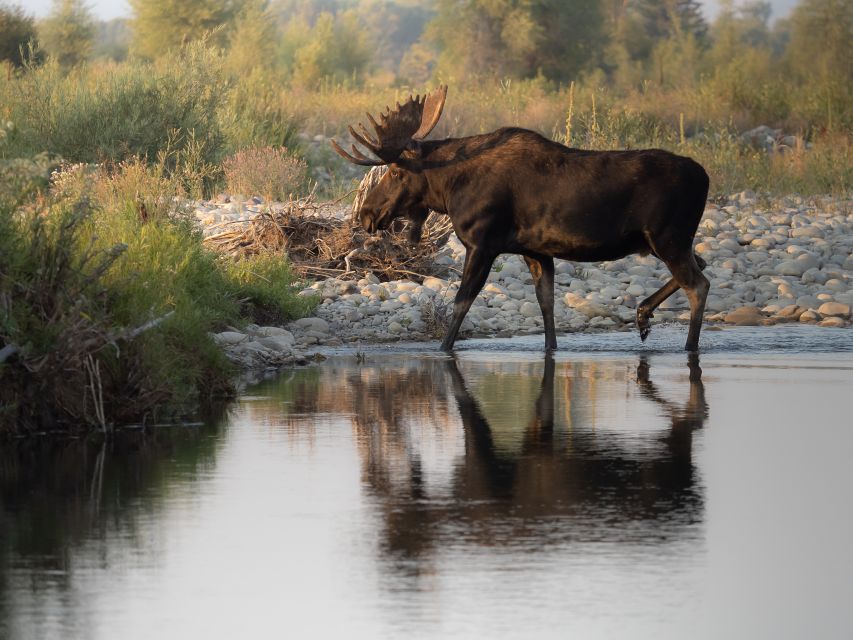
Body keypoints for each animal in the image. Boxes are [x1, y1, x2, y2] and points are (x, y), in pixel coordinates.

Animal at [330, 85, 708, 352]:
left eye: (395, 171)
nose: (366, 213)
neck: (449, 190)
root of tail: (704, 176)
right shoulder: (535, 250)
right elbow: (546, 305)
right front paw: (551, 348)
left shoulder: (482, 242)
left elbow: (462, 300)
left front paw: (443, 348)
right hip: (668, 240)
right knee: (702, 264)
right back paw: (643, 314)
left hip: (667, 238)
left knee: (699, 283)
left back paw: (687, 345)